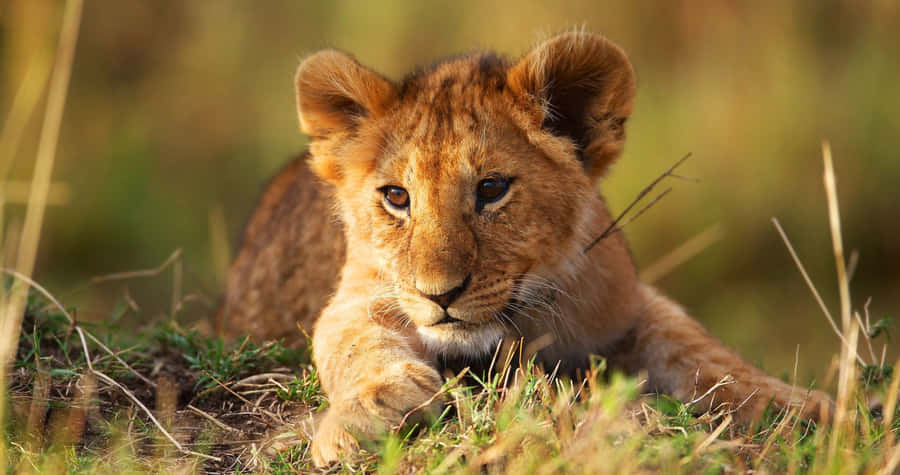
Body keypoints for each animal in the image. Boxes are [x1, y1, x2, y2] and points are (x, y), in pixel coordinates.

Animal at [217, 31, 831, 466]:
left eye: (492, 189)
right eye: (396, 197)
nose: (440, 295)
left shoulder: (628, 304)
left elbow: (705, 353)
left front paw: (809, 407)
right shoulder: (360, 293)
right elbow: (354, 342)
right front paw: (364, 413)